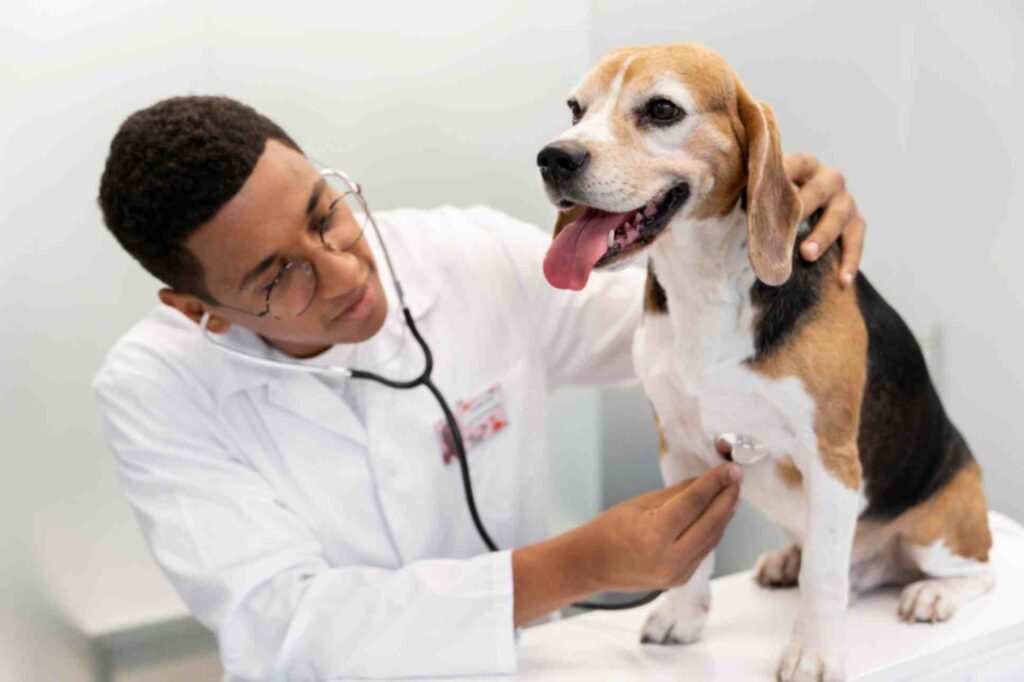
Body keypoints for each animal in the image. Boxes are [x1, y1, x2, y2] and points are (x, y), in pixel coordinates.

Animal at [536, 45, 991, 675]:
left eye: (661, 109)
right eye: (575, 109)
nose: (553, 158)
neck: (704, 285)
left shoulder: (831, 459)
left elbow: (824, 579)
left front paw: (814, 654)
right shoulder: (679, 444)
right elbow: (696, 557)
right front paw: (682, 617)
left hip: (940, 528)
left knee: (979, 570)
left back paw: (933, 593)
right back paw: (788, 562)